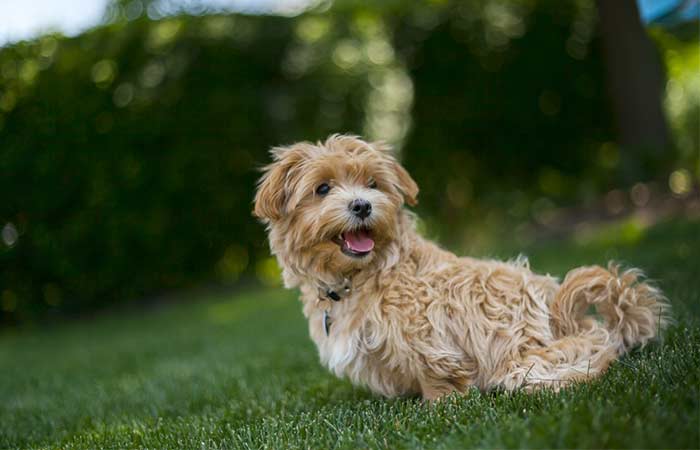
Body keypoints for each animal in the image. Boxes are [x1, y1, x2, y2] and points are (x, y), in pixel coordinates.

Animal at [253, 134, 672, 400]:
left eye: (373, 183)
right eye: (322, 188)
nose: (362, 205)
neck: (364, 275)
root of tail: (560, 311)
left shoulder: (425, 332)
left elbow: (436, 370)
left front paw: (439, 403)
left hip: (528, 358)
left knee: (596, 353)